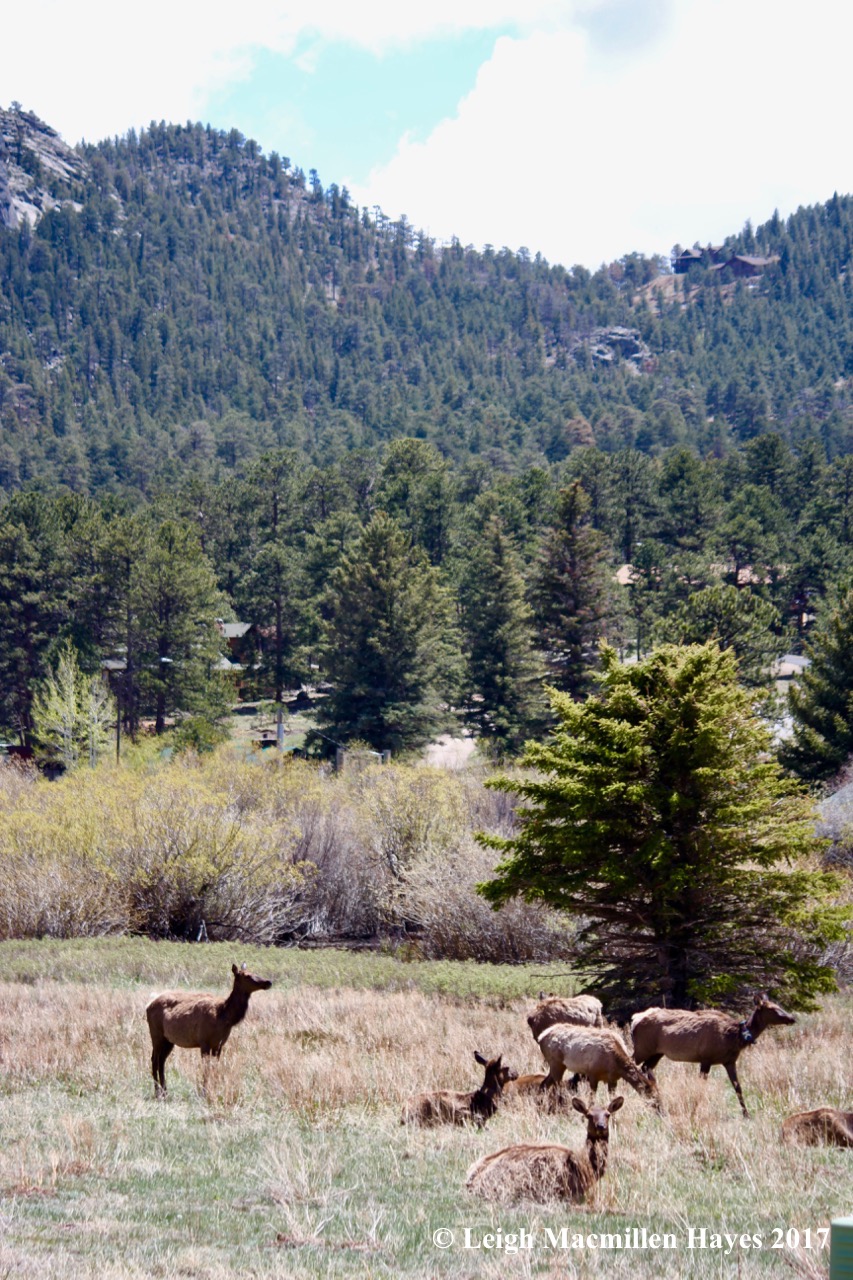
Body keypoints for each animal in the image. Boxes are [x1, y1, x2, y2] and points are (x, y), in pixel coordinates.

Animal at [146, 962, 272, 1097]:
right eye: (247, 976)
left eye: (254, 972)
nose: (268, 982)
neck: (224, 1017)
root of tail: (147, 1007)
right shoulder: (204, 1041)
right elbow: (206, 1068)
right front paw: (204, 1092)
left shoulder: (219, 1044)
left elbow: (215, 1067)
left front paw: (214, 1090)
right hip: (156, 1034)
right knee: (154, 1060)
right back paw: (158, 1093)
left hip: (168, 1040)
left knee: (161, 1061)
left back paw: (165, 1091)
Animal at [466, 1096, 624, 1204]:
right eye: (589, 1115)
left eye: (607, 1114)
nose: (601, 1126)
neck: (585, 1168)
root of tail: (470, 1181)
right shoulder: (568, 1192)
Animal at [630, 993, 796, 1118]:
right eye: (772, 1009)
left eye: (778, 1006)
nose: (792, 1018)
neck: (735, 1037)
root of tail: (634, 1020)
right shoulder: (706, 1057)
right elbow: (700, 1087)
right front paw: (695, 1110)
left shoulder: (729, 1061)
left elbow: (738, 1087)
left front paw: (746, 1114)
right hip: (642, 1048)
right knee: (631, 1064)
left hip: (657, 1053)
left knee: (646, 1068)